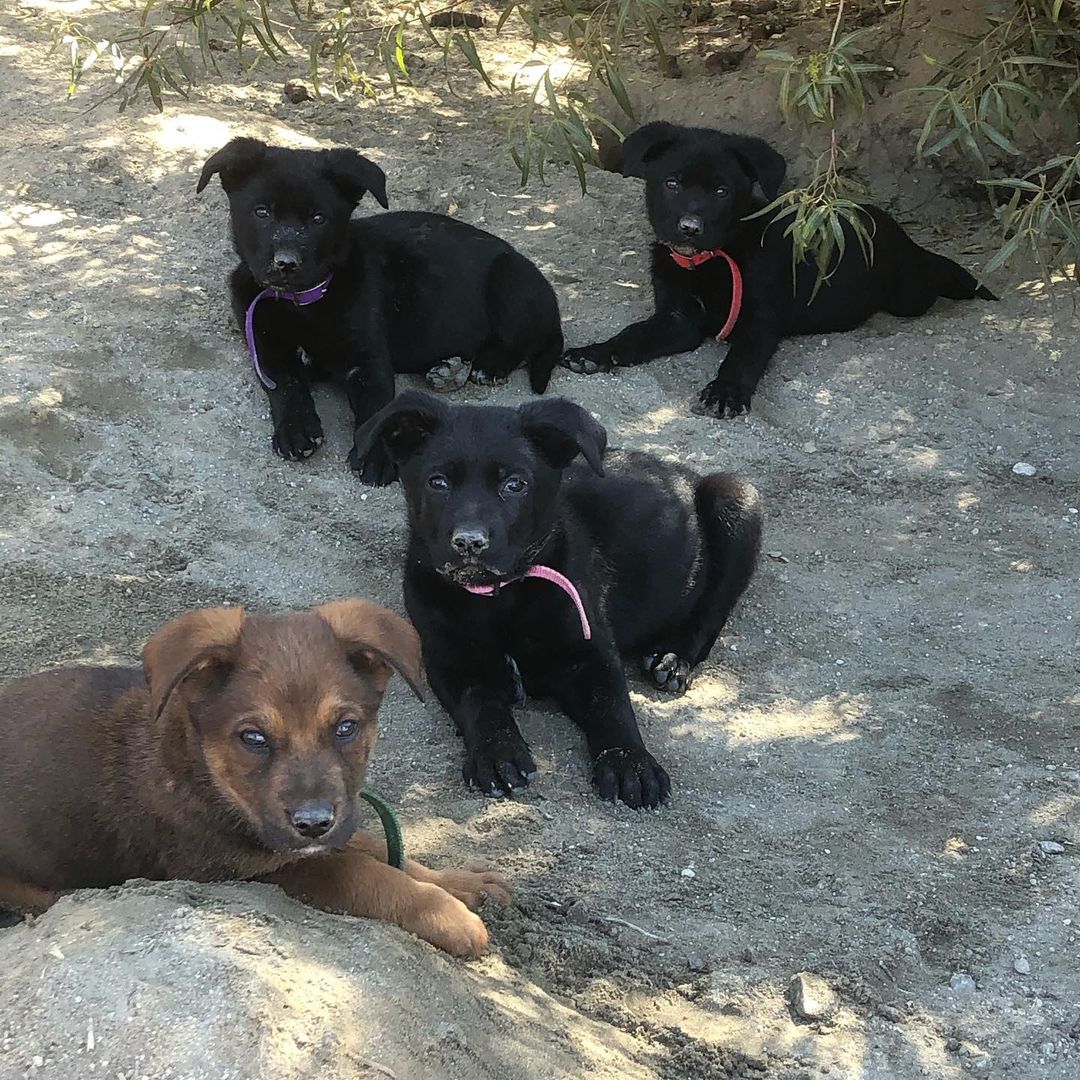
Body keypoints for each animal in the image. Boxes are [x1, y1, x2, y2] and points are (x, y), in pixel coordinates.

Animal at [0, 604, 509, 959]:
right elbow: (363, 872)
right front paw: (446, 914)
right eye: (253, 738)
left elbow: (378, 846)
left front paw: (461, 883)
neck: (199, 769)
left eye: (346, 727)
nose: (313, 824)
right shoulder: (259, 870)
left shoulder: (330, 825)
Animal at [198, 138, 565, 460]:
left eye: (318, 219)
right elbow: (286, 387)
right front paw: (295, 429)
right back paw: (451, 369)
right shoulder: (267, 350)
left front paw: (374, 456)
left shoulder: (367, 358)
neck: (302, 304)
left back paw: (486, 366)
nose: (286, 264)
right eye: (262, 212)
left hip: (510, 278)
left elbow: (378, 410)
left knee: (522, 344)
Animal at [352, 393, 760, 807]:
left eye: (515, 484)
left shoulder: (592, 651)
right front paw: (497, 753)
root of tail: (679, 472)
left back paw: (674, 659)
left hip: (737, 498)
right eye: (438, 482)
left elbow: (612, 705)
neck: (499, 598)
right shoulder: (448, 659)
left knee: (713, 609)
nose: (469, 542)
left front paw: (630, 762)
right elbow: (479, 703)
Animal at [565, 121, 993, 416]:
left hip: (909, 295)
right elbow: (633, 335)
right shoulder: (677, 319)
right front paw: (596, 352)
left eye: (721, 191)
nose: (689, 227)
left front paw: (725, 392)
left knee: (930, 273)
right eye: (672, 183)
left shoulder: (760, 319)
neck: (712, 259)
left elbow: (741, 358)